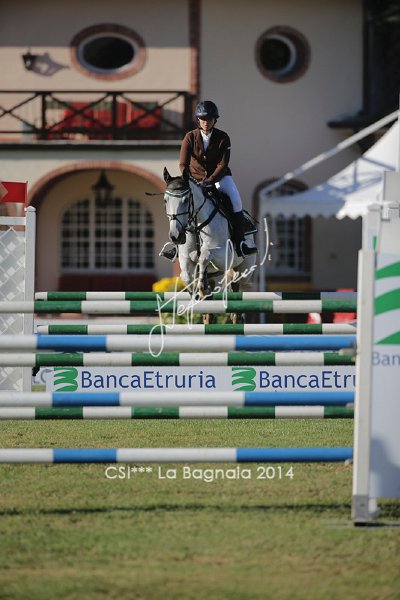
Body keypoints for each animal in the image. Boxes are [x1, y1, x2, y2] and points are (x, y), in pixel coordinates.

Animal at [162, 167, 258, 309]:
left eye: (186, 200)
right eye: (165, 200)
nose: (176, 236)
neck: (197, 226)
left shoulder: (225, 255)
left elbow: (205, 255)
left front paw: (202, 289)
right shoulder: (185, 258)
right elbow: (186, 276)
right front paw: (196, 294)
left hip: (244, 269)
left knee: (239, 283)